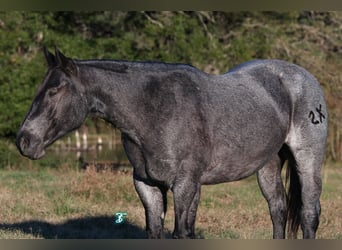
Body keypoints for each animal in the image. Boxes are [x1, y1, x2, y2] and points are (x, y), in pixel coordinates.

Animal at [16, 47, 328, 238]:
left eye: (55, 91)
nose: (24, 140)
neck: (156, 109)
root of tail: (303, 78)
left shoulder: (185, 184)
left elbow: (181, 232)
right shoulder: (147, 184)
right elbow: (156, 231)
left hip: (308, 160)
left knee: (309, 214)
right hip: (268, 165)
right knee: (278, 210)